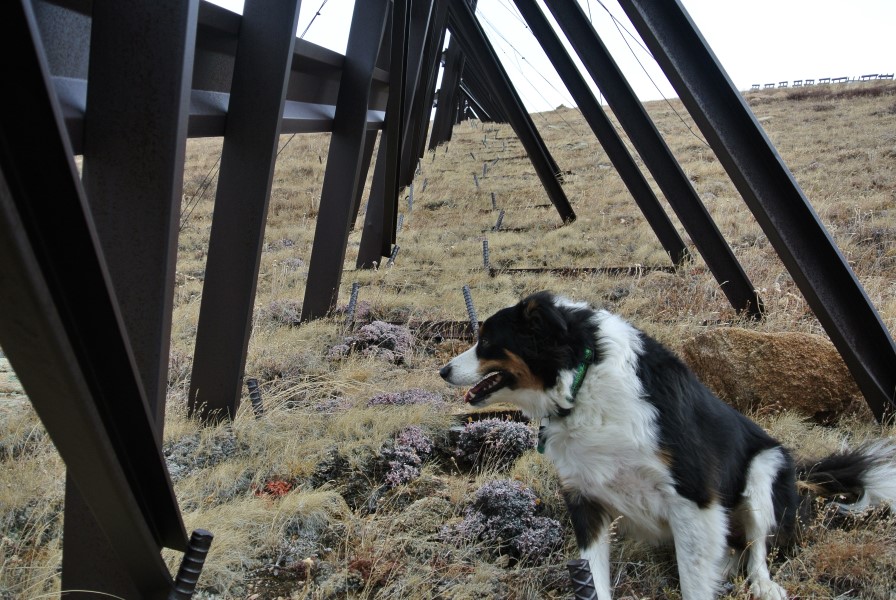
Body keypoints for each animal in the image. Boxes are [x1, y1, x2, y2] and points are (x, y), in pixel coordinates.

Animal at [440, 290, 896, 596]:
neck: (581, 382)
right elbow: (594, 576)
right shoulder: (585, 498)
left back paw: (765, 586)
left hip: (764, 470)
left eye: (486, 340)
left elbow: (695, 582)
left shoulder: (694, 497)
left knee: (758, 550)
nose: (443, 371)